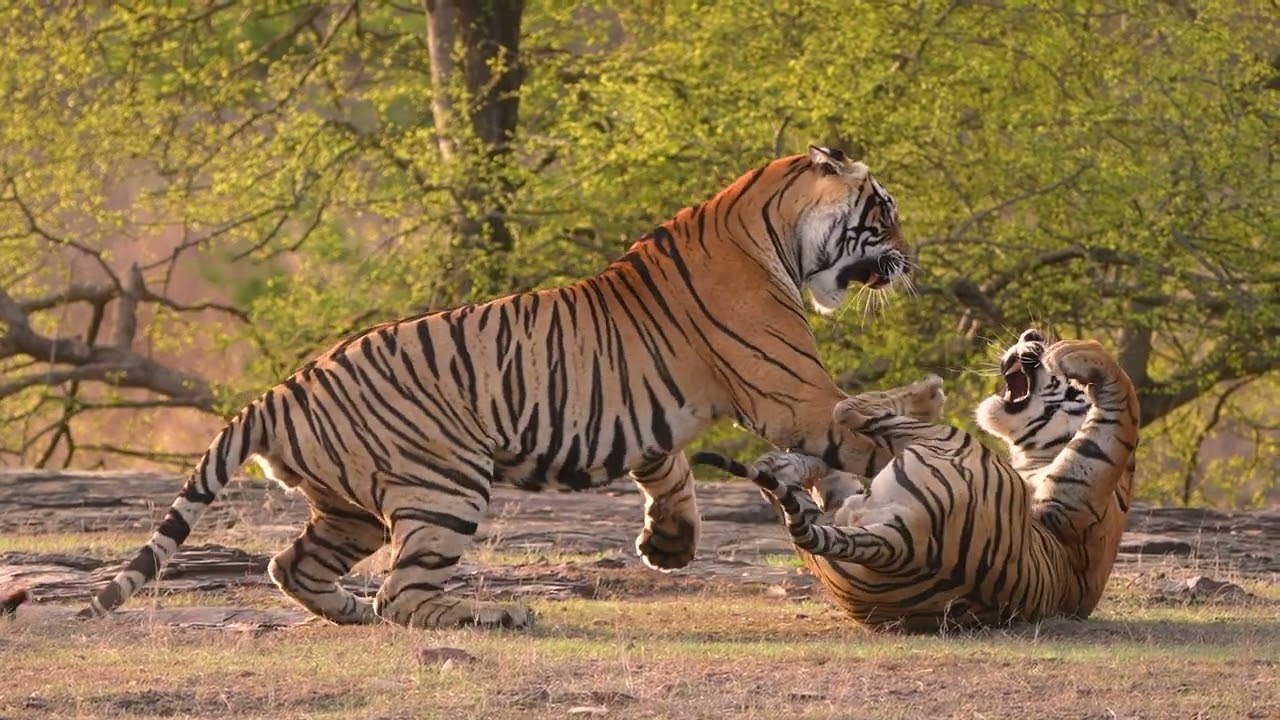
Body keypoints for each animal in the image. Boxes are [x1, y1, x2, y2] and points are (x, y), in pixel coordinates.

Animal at [65, 146, 919, 629]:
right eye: (884, 216)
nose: (911, 262)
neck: (768, 221)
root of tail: (284, 388)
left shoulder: (656, 422)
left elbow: (671, 474)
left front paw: (668, 546)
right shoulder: (792, 393)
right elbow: (864, 436)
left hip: (351, 507)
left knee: (293, 565)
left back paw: (347, 612)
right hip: (445, 483)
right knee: (405, 593)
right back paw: (497, 613)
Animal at [693, 331, 1140, 631]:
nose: (1033, 335)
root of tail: (903, 545)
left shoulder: (1084, 498)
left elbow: (1124, 414)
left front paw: (1077, 353)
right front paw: (790, 462)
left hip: (948, 442)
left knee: (848, 409)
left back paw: (927, 391)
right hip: (837, 534)